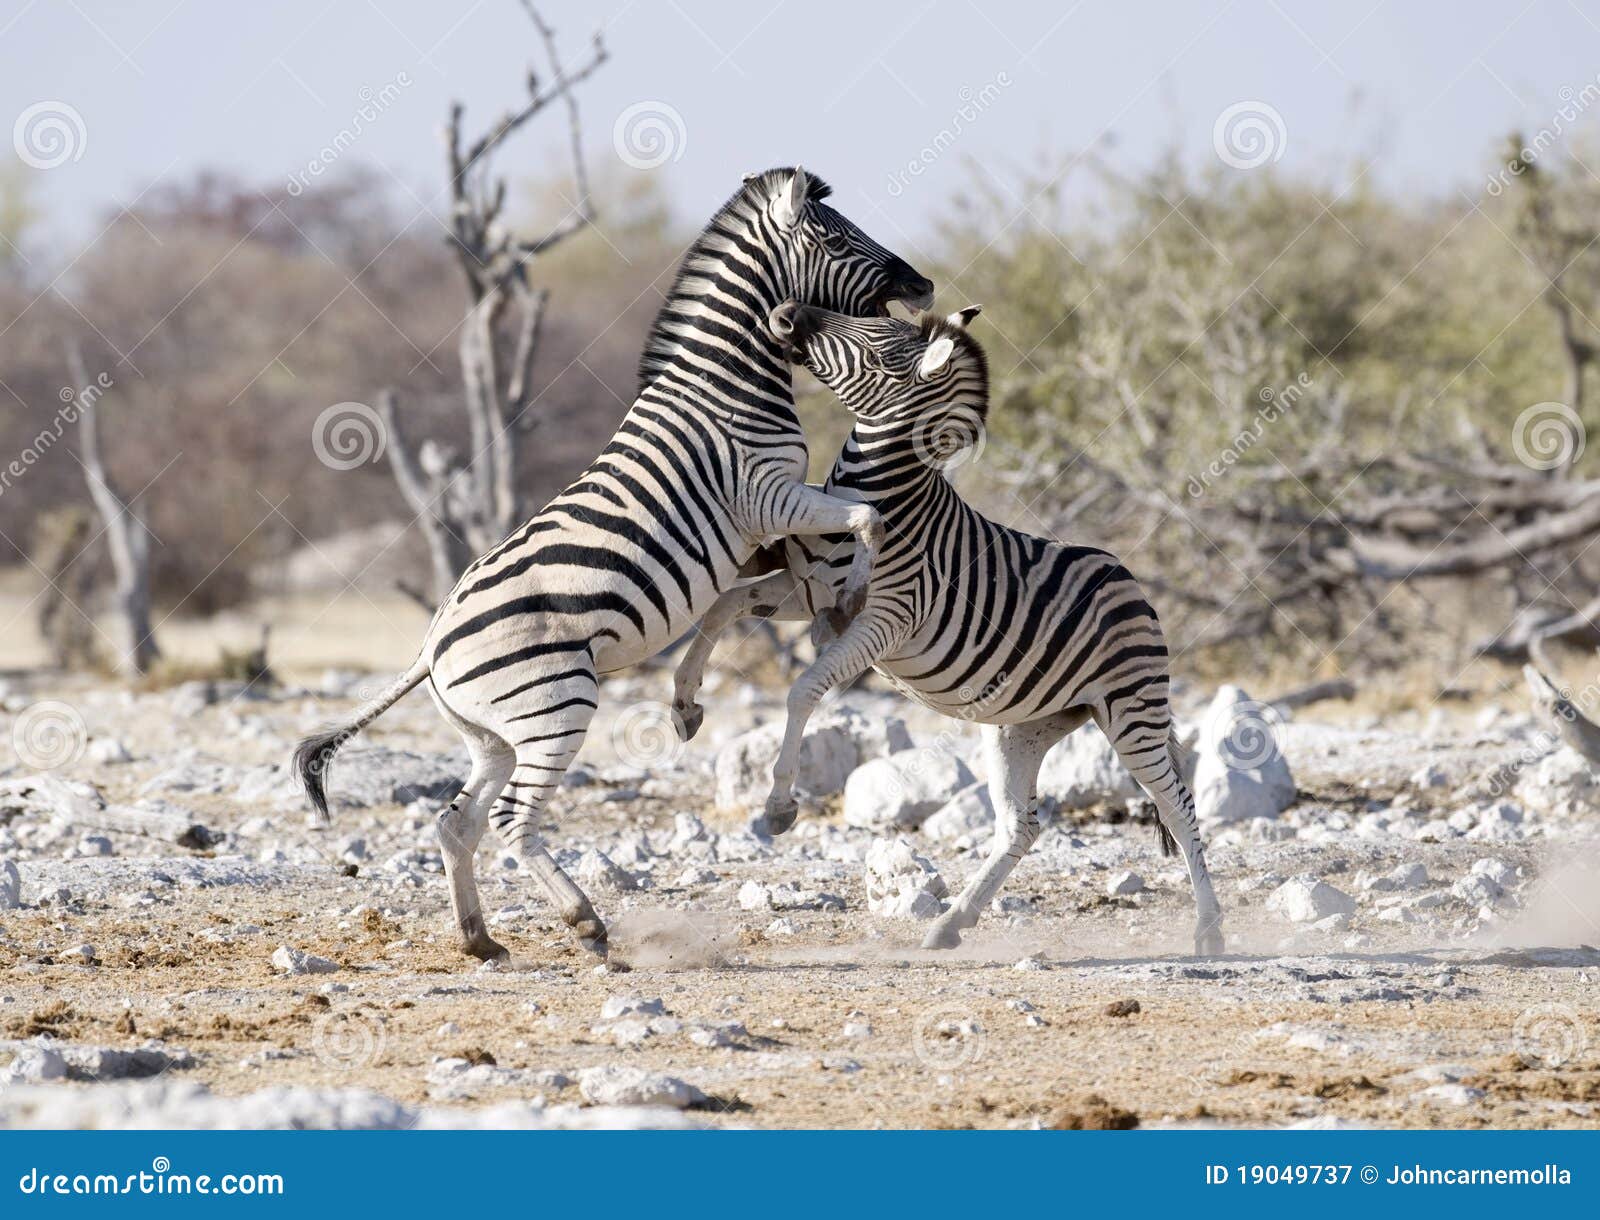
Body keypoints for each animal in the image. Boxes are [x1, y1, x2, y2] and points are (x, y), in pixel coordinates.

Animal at [293, 169, 934, 963]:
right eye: (838, 239)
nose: (926, 284)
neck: (730, 387)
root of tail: (431, 645)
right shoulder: (767, 495)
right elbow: (865, 518)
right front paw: (844, 600)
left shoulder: (765, 526)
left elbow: (748, 594)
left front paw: (690, 698)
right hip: (555, 706)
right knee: (511, 820)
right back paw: (585, 923)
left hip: (494, 736)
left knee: (457, 820)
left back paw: (480, 940)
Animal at [669, 302, 1225, 955]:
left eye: (875, 350)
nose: (786, 313)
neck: (878, 489)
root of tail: (1132, 581)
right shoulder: (805, 590)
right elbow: (723, 607)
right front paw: (684, 702)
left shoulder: (885, 619)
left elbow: (803, 690)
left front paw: (780, 803)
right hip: (1023, 727)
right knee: (1021, 826)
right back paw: (951, 922)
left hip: (1132, 709)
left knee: (1179, 805)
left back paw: (1209, 932)